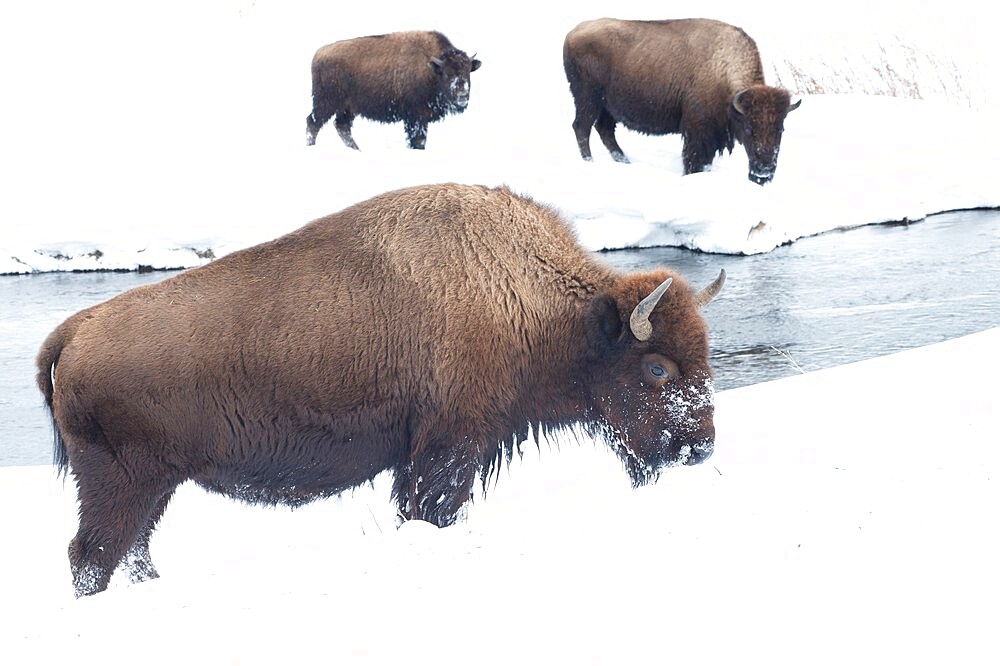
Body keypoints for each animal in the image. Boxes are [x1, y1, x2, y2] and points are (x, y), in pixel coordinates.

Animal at [37, 183, 728, 596]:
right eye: (658, 369)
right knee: (90, 554)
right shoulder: (447, 448)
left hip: (155, 487)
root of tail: (72, 332)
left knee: (130, 551)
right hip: (120, 485)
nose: (700, 446)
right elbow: (431, 508)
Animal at [304, 30, 480, 149]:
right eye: (447, 74)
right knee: (313, 122)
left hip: (347, 108)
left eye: (467, 72)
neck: (432, 69)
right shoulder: (416, 118)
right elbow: (418, 140)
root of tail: (319, 54)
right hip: (326, 103)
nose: (462, 95)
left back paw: (357, 150)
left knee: (342, 126)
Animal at [568, 18, 800, 184]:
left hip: (607, 107)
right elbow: (694, 160)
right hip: (588, 99)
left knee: (604, 130)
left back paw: (624, 161)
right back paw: (590, 161)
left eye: (781, 129)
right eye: (749, 129)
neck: (722, 69)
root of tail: (573, 33)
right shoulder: (698, 132)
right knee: (582, 127)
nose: (764, 172)